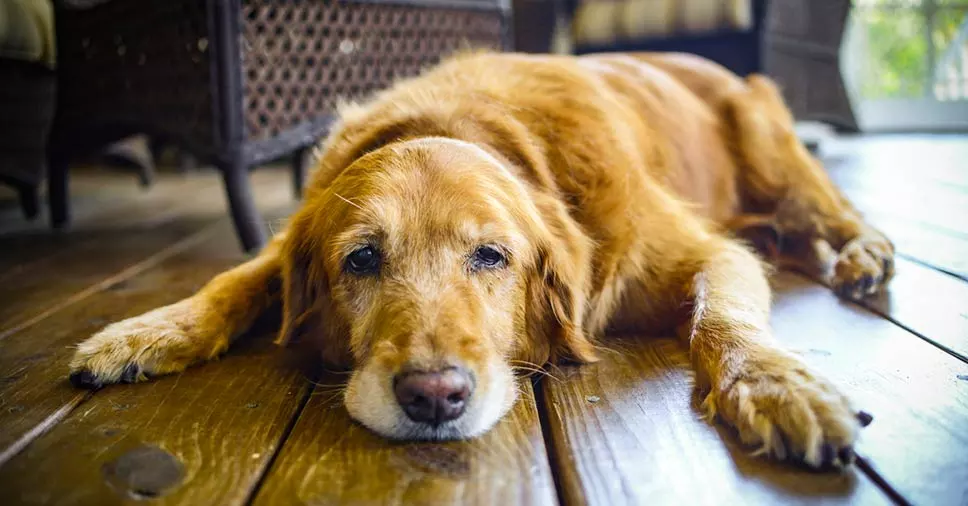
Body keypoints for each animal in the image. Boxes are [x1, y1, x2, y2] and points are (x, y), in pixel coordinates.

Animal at [68, 49, 892, 468]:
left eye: (491, 256)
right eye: (360, 261)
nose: (434, 397)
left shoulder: (707, 252)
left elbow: (723, 320)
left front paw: (777, 386)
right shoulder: (288, 240)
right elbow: (233, 279)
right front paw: (145, 332)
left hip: (769, 141)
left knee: (830, 209)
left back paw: (863, 254)